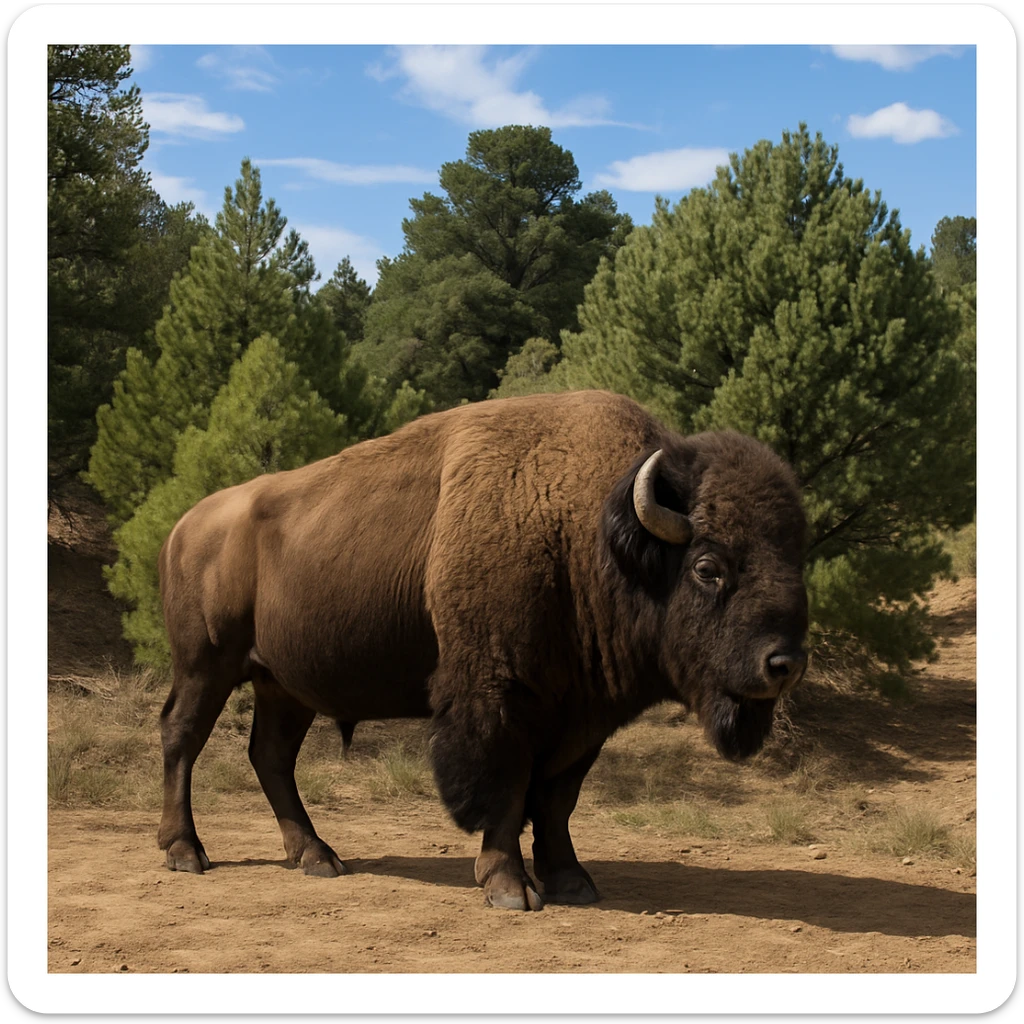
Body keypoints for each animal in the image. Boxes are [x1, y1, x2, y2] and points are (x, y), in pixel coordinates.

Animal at [157, 390, 808, 910]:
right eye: (707, 567)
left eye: (797, 560)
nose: (784, 664)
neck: (591, 531)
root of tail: (184, 525)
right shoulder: (497, 697)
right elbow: (507, 788)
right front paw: (508, 887)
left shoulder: (582, 717)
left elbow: (557, 799)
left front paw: (572, 881)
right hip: (206, 665)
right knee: (182, 736)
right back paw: (186, 852)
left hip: (283, 685)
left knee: (270, 756)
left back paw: (317, 856)